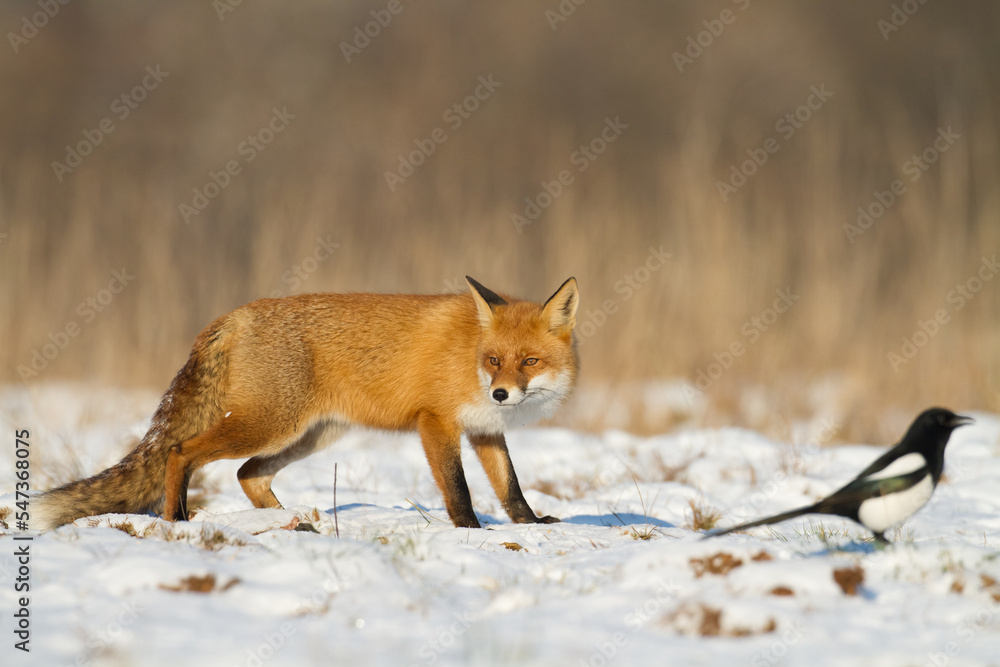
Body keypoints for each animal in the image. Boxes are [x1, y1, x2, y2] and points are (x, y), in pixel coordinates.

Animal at [32, 276, 579, 531]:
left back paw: (289, 521)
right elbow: (458, 488)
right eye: (494, 360)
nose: (500, 393)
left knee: (248, 474)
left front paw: (532, 526)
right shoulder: (437, 423)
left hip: (306, 436)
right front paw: (468, 529)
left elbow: (511, 487)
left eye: (529, 361)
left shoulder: (485, 429)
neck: (468, 358)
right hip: (269, 424)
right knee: (179, 452)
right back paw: (177, 518)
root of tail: (233, 316)